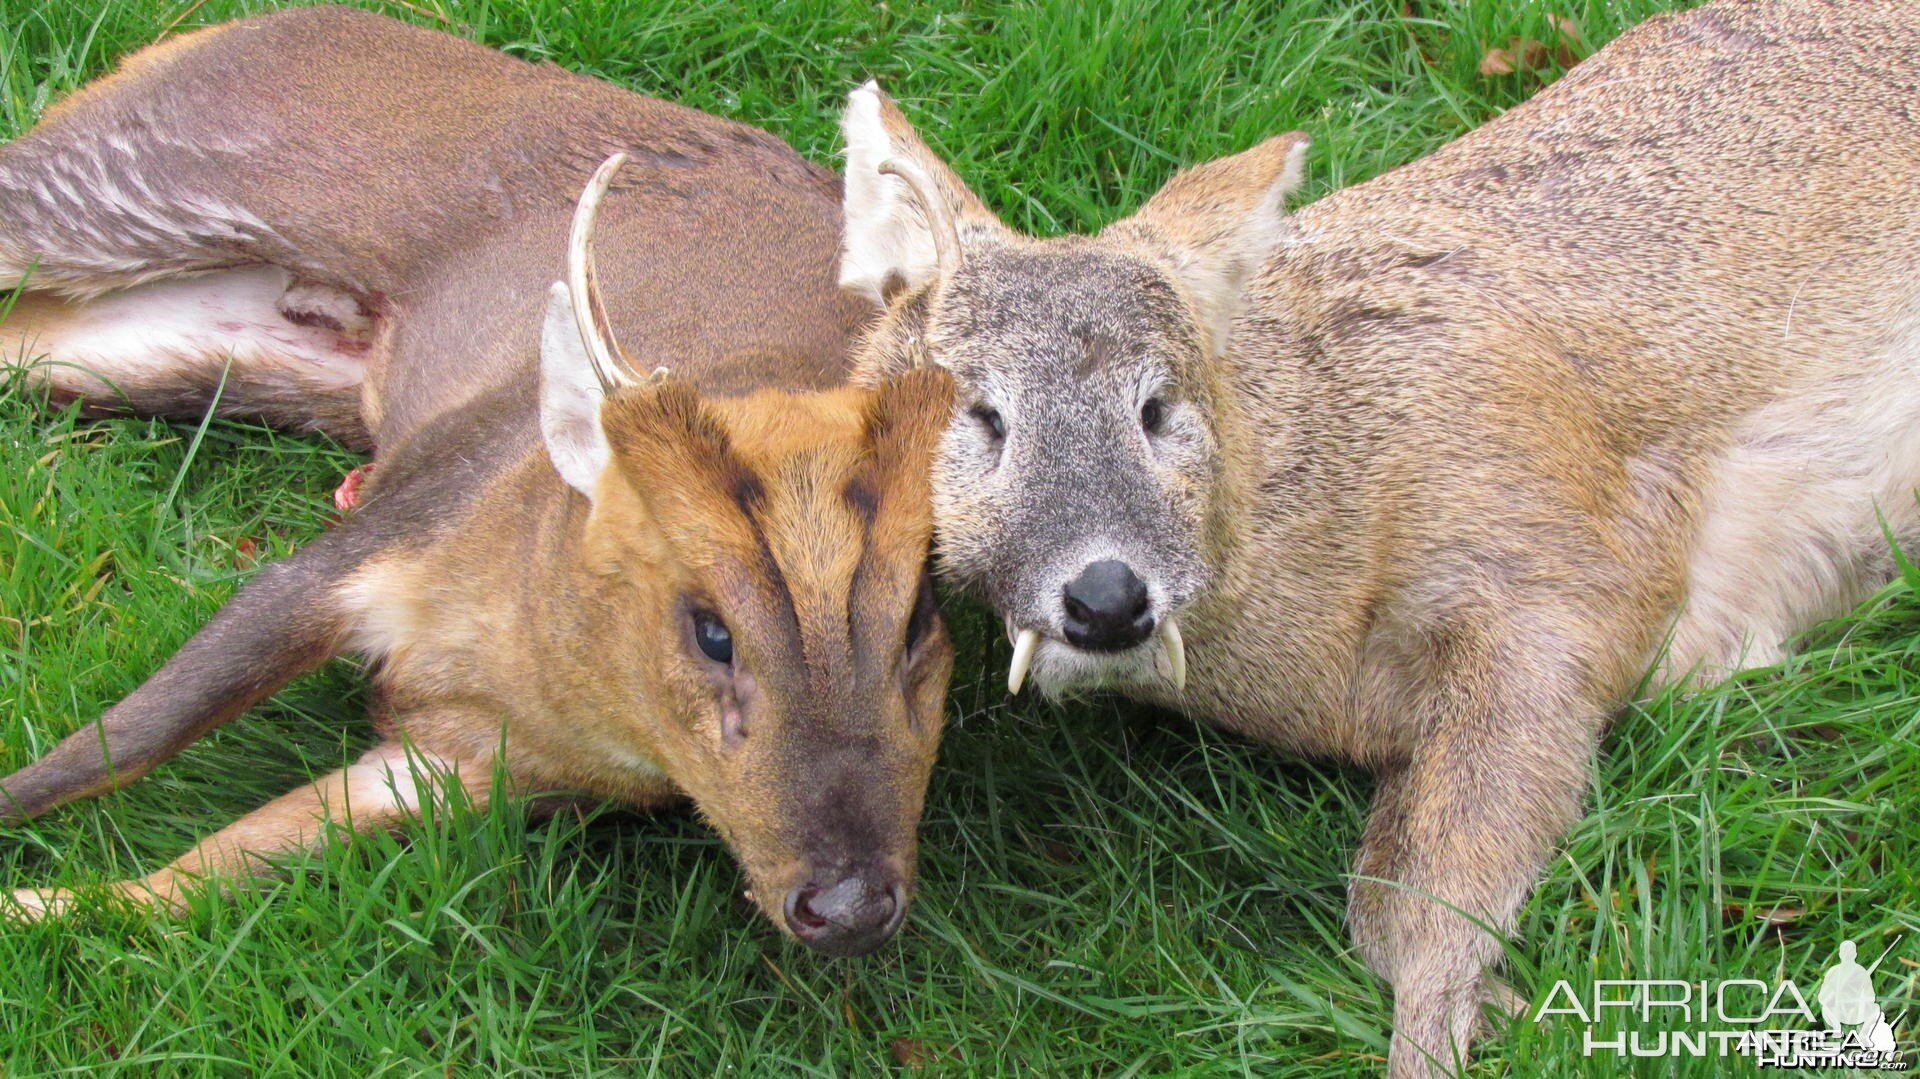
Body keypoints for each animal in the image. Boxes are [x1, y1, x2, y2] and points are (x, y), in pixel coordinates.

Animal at [0, 6, 960, 948]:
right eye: (712, 630)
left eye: (918, 618)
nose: (849, 904)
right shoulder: (386, 524)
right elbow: (121, 740)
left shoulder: (459, 763)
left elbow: (208, 872)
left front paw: (36, 907)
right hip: (124, 177)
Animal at [833, 0, 1912, 1059]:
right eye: (982, 414)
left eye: (1157, 405)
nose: (1108, 595)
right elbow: (1388, 903)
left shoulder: (1565, 576)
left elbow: (1438, 901)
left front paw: (1457, 1029)